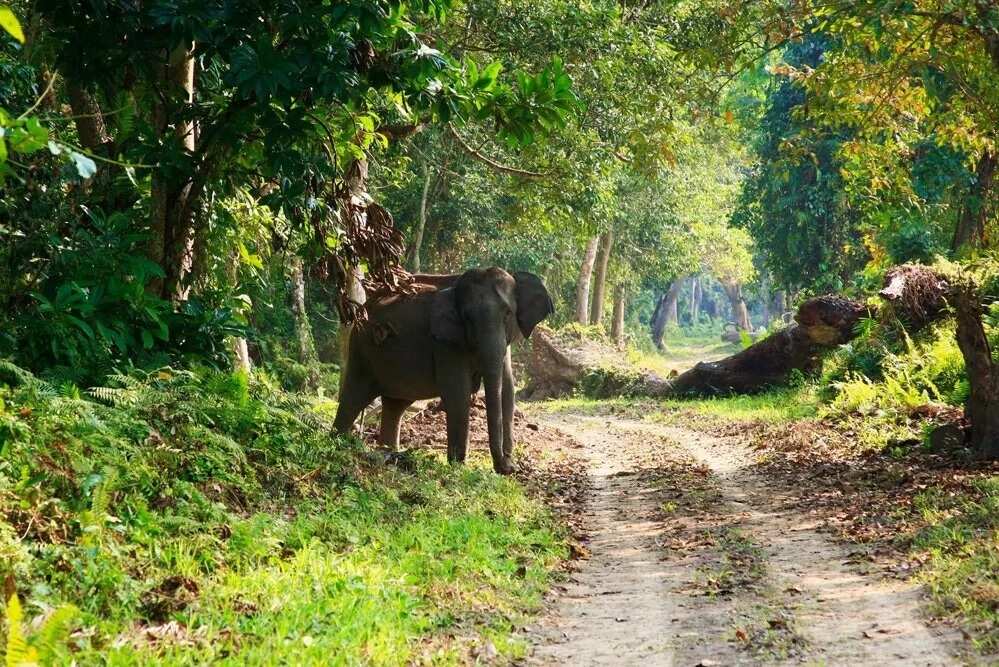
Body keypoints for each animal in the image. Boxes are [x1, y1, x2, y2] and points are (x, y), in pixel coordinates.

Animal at [336, 266, 556, 474]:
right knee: (354, 395)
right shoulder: (445, 343)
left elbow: (508, 391)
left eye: (508, 314)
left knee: (395, 404)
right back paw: (340, 443)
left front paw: (508, 467)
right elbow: (458, 392)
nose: (506, 468)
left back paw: (388, 454)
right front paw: (458, 467)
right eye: (467, 318)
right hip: (361, 349)